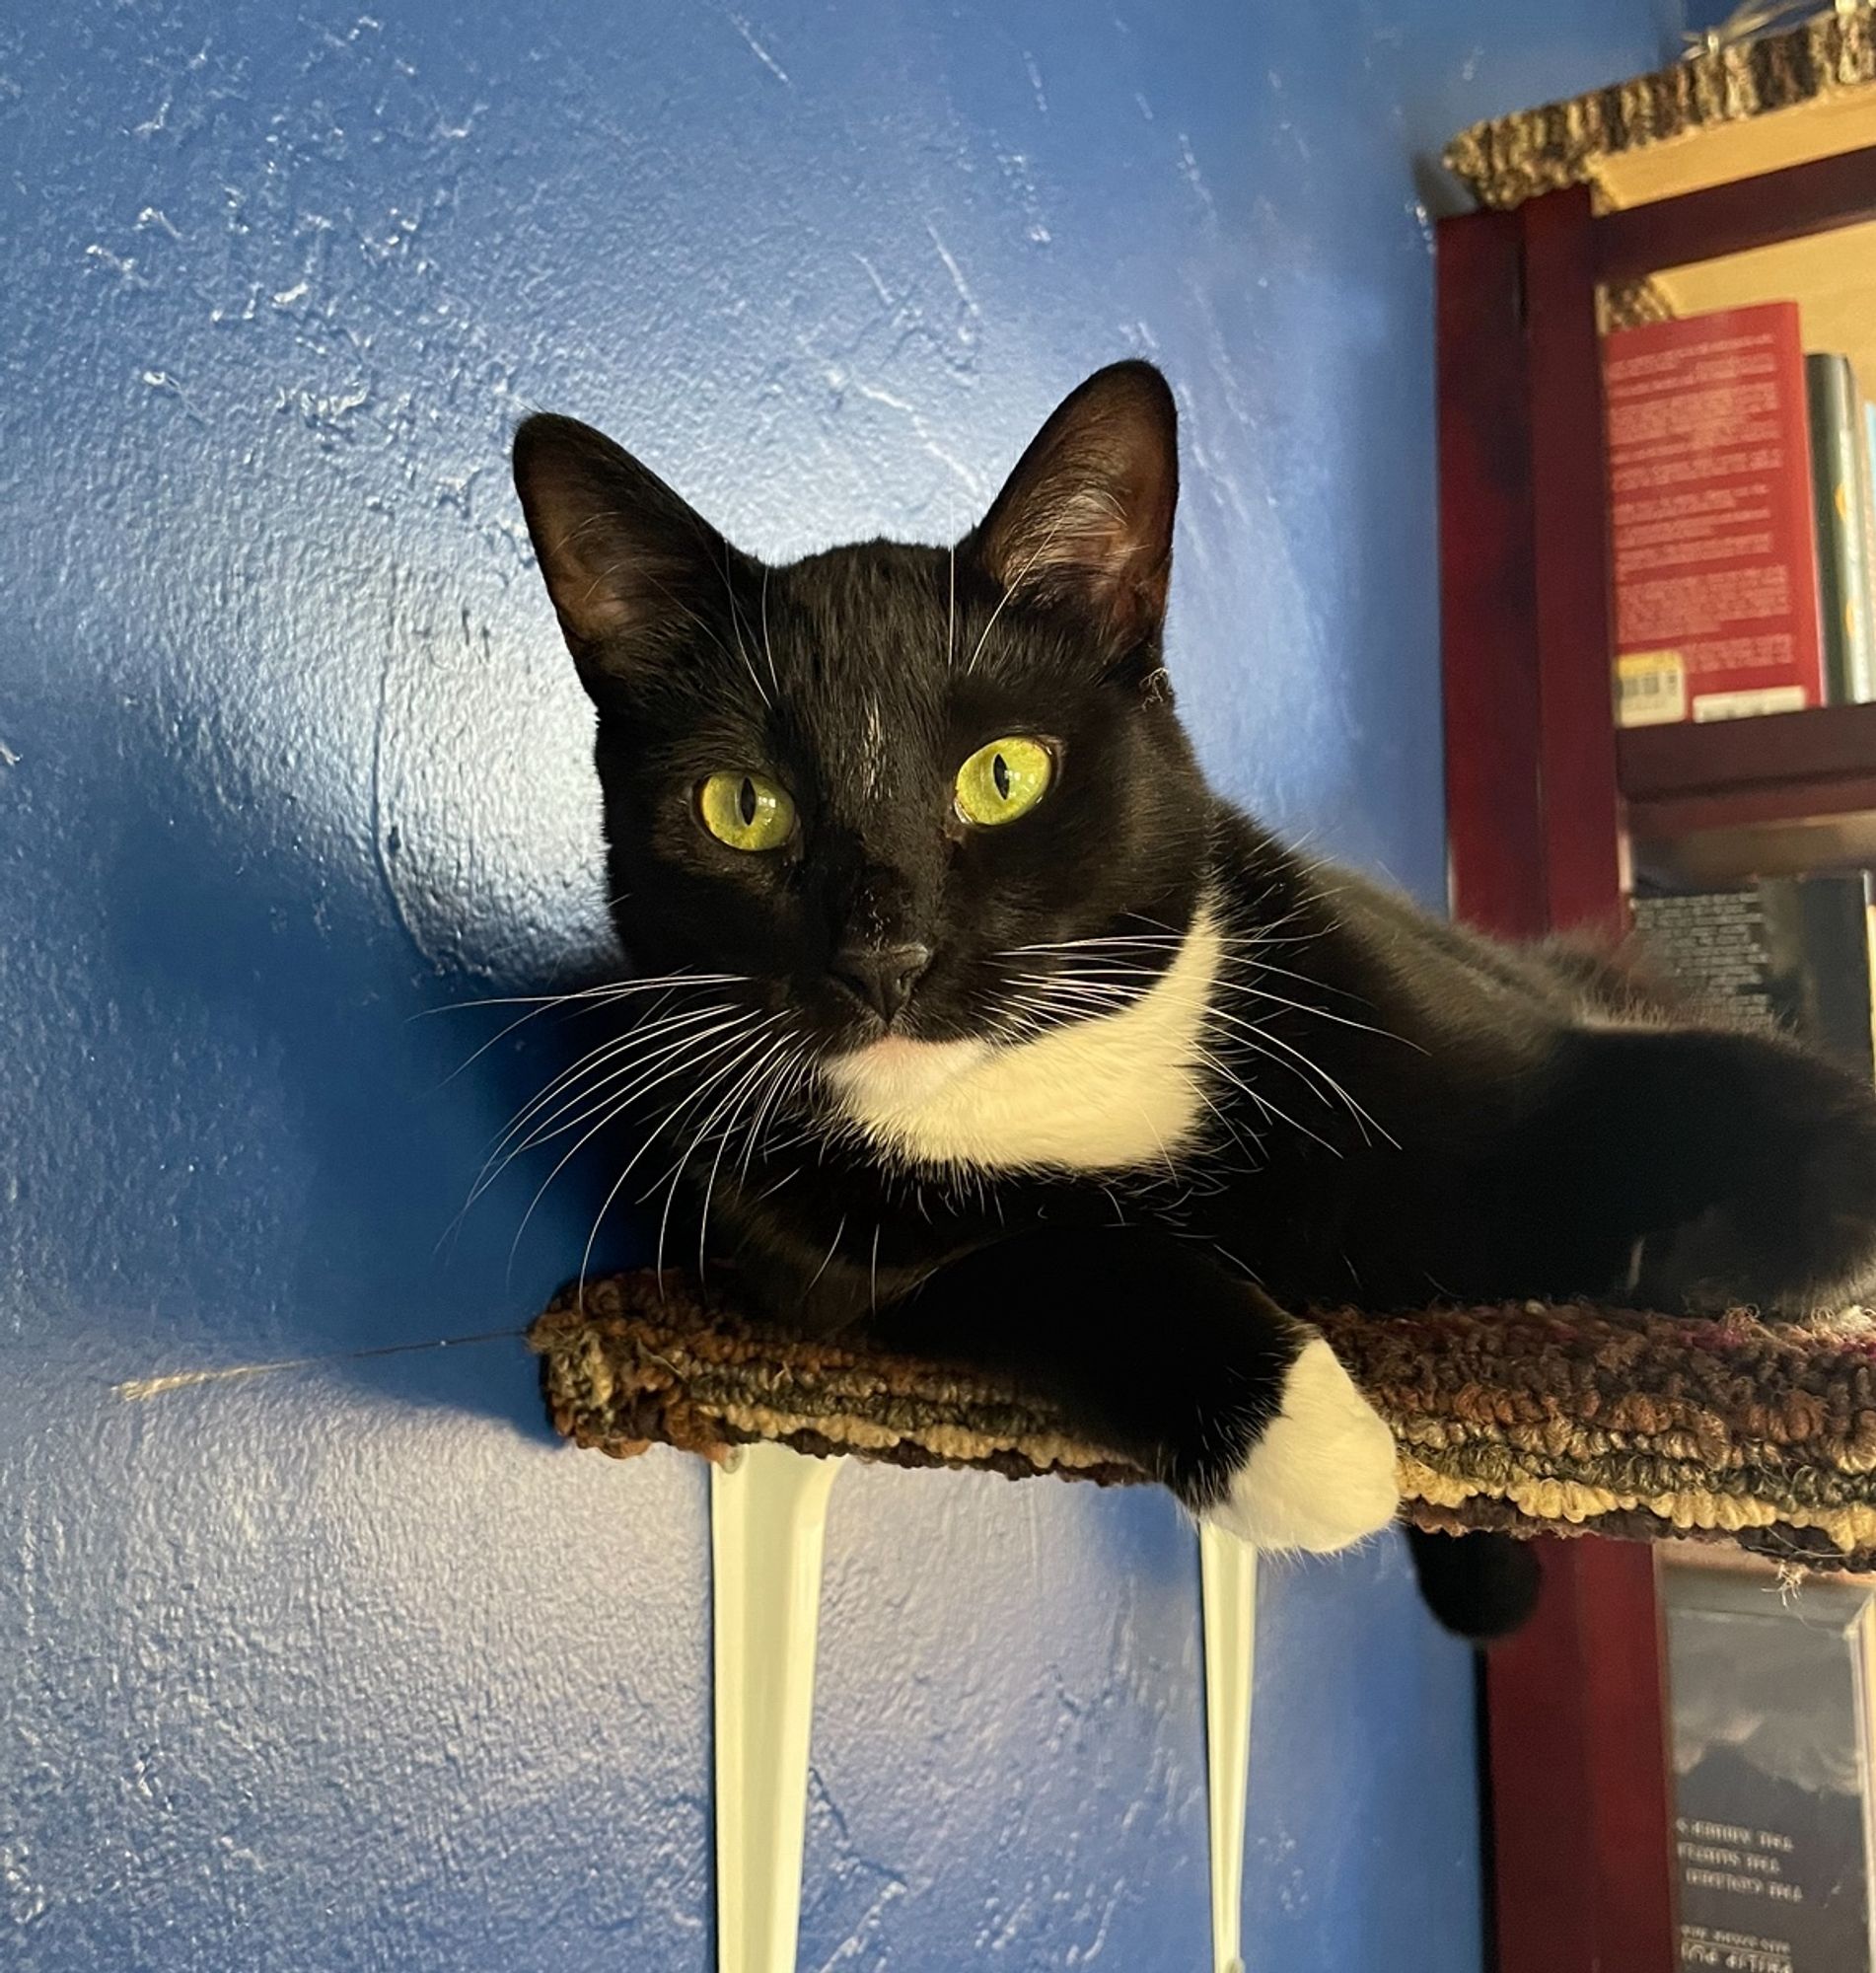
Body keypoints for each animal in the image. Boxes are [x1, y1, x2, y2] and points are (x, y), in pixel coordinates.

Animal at [505, 367, 1876, 1634]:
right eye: (742, 806)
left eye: (1003, 774)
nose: (882, 955)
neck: (1063, 1076)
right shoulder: (816, 1264)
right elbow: (1050, 1260)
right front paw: (1309, 1442)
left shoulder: (1533, 1050)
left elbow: (1774, 1096)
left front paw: (1717, 1265)